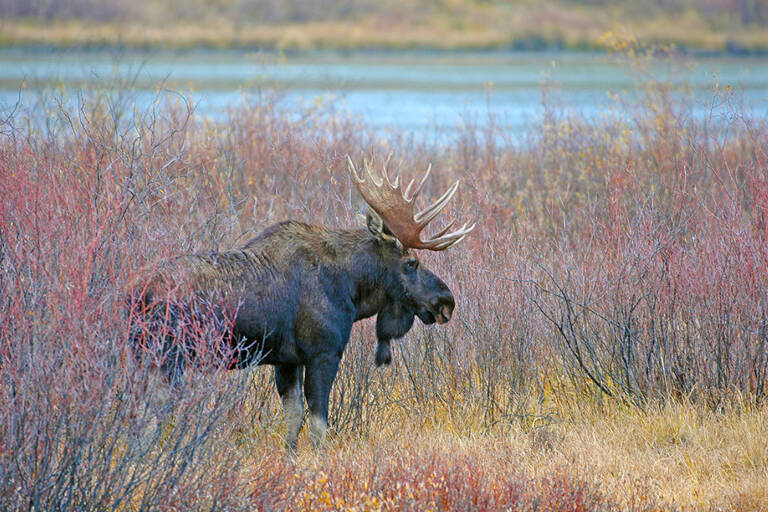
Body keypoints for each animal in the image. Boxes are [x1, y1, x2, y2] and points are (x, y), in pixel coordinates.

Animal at [130, 155, 474, 451]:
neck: (352, 288)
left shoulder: (287, 361)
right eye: (411, 263)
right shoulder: (323, 353)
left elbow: (293, 421)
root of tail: (131, 294)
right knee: (147, 417)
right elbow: (319, 425)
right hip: (166, 357)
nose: (446, 301)